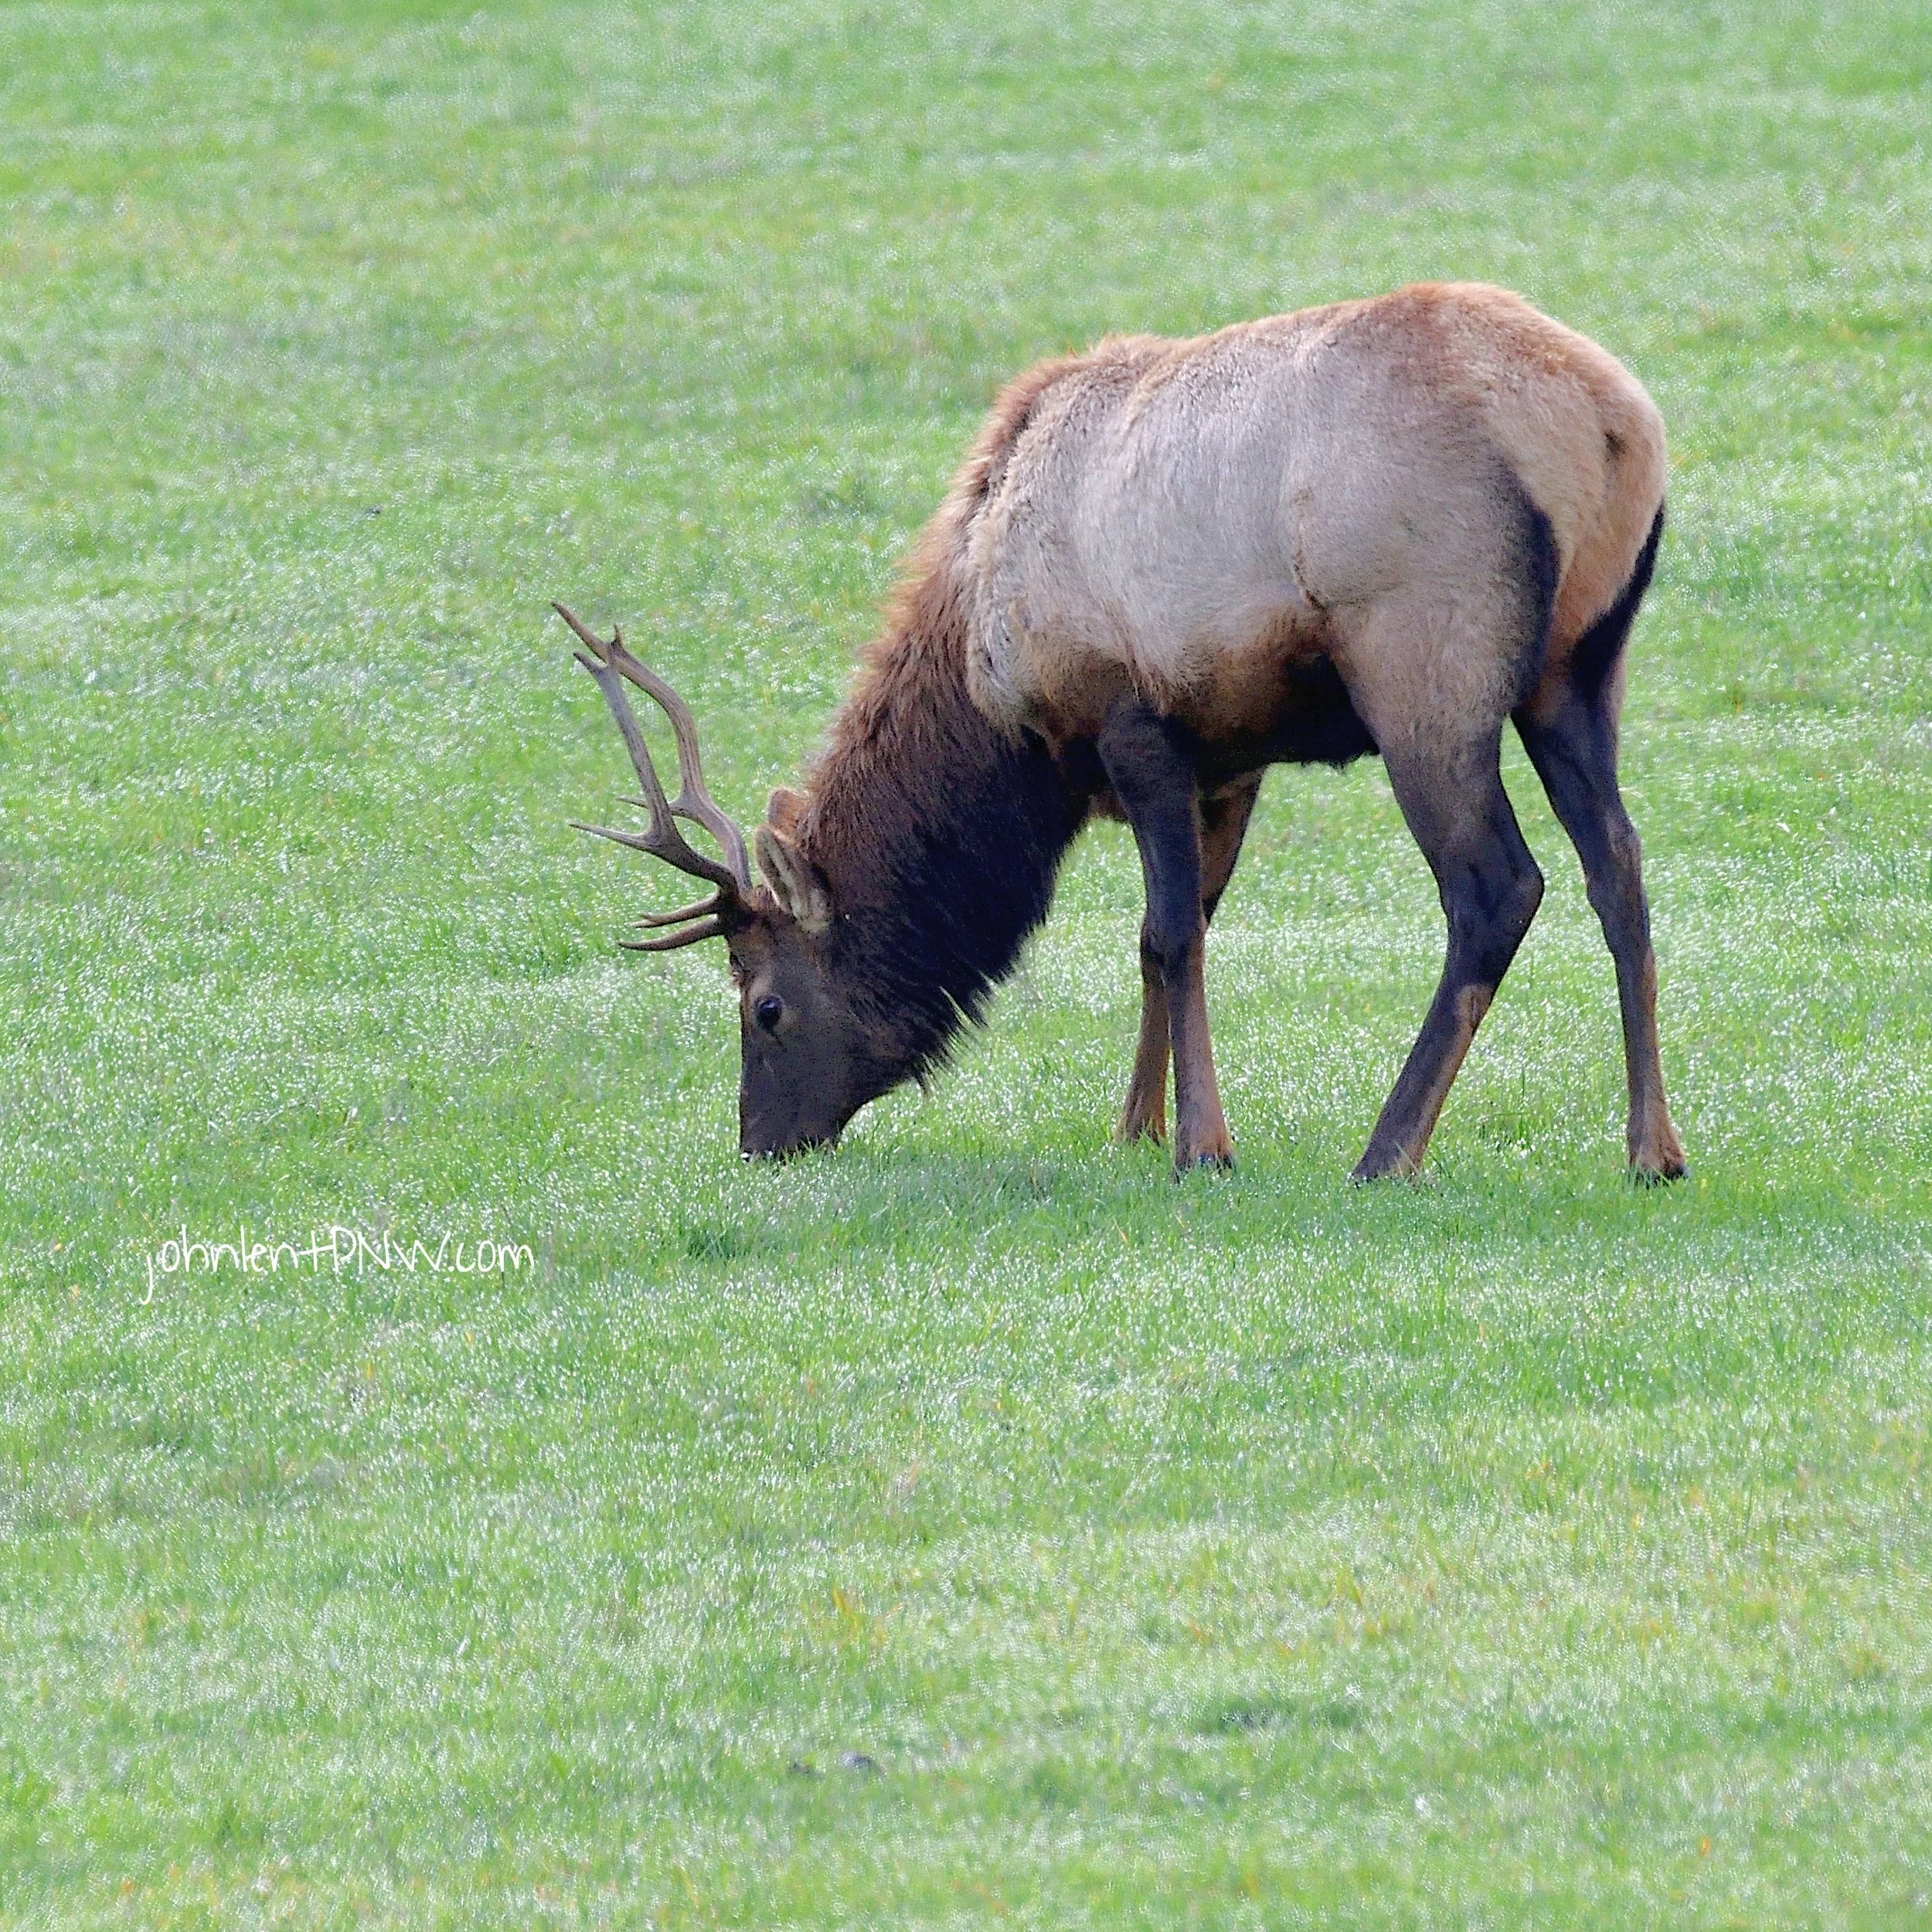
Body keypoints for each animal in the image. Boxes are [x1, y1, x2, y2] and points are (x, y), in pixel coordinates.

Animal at [554, 281, 1686, 1182]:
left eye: (766, 1007)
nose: (759, 1142)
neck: (990, 690)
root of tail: (1611, 424)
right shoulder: (1229, 755)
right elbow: (1174, 932)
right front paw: (1136, 1125)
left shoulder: (1132, 721)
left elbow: (1170, 932)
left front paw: (1201, 1145)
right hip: (1580, 668)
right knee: (1619, 863)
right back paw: (1653, 1149)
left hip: (1423, 663)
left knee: (1498, 888)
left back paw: (1388, 1148)